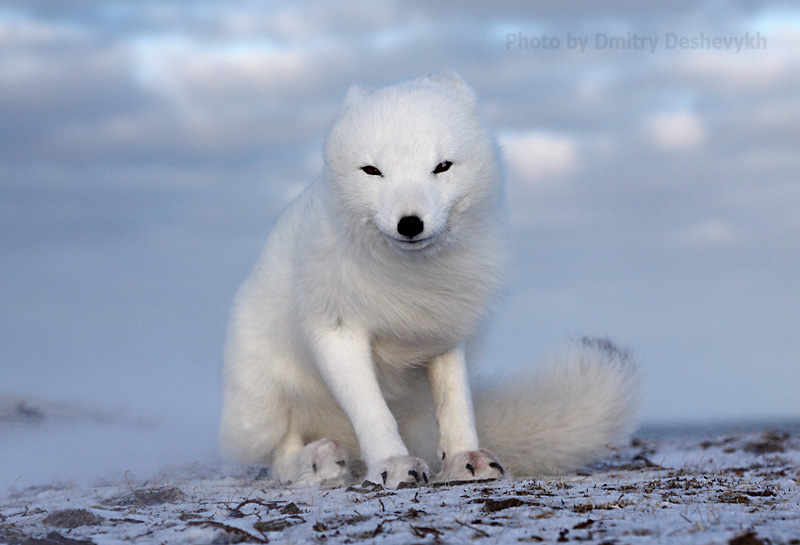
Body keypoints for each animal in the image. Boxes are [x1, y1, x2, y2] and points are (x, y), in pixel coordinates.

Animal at [219, 73, 636, 488]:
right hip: (264, 397)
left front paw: (464, 458)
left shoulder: (442, 329)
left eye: (442, 166)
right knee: (280, 454)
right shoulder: (336, 329)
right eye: (372, 170)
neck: (410, 279)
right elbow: (372, 410)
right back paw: (321, 461)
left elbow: (456, 403)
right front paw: (392, 463)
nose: (410, 224)